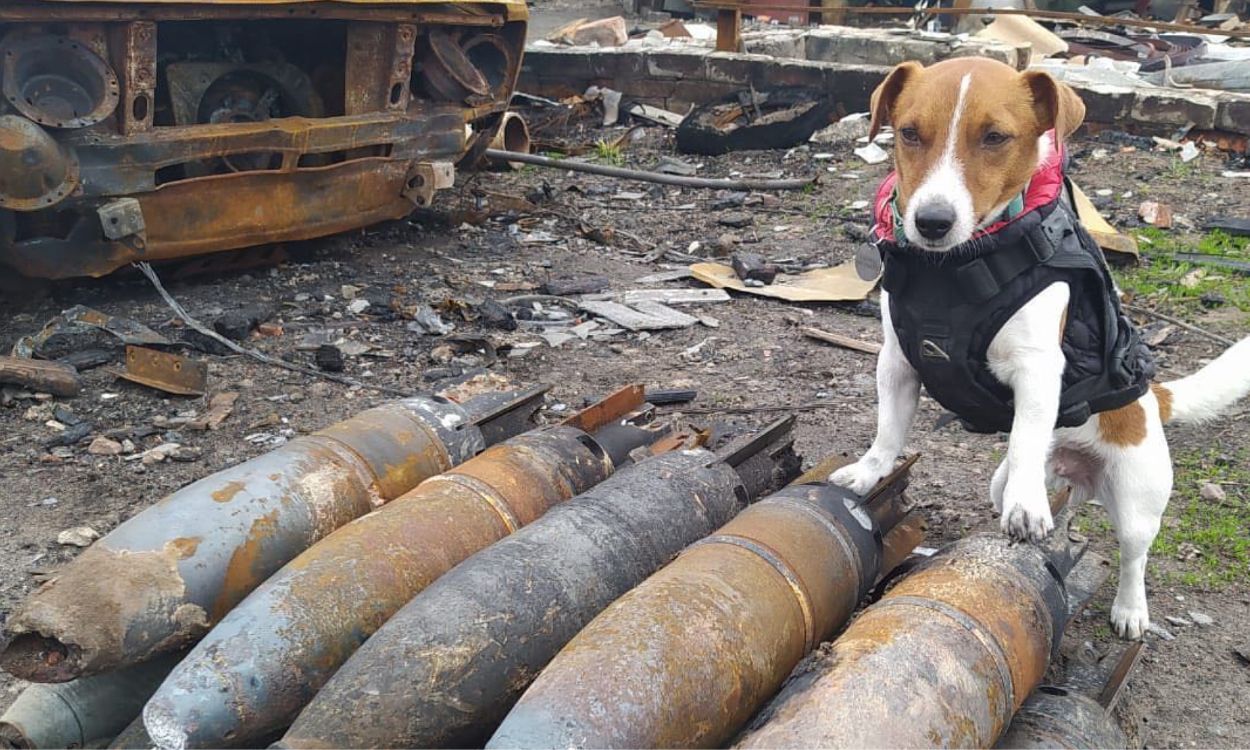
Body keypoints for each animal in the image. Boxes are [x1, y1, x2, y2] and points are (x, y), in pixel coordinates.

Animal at [830, 58, 1250, 640]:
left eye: (995, 137)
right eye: (909, 133)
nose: (932, 222)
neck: (954, 269)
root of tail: (1153, 401)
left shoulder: (1036, 370)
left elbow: (1027, 437)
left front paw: (1026, 507)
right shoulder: (898, 362)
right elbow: (888, 432)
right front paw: (871, 471)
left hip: (1138, 501)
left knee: (1133, 557)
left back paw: (1130, 609)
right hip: (1007, 480)